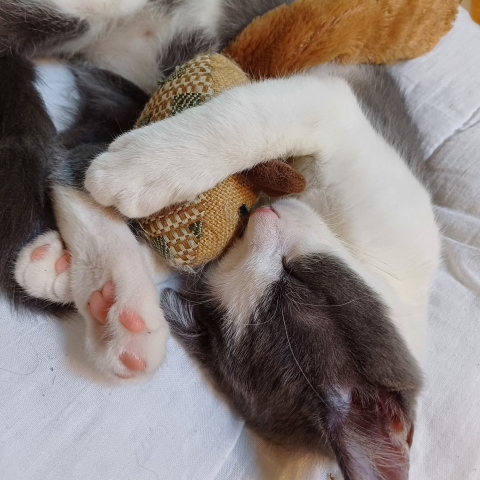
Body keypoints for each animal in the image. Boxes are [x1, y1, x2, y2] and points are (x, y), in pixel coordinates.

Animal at [0, 1, 442, 478]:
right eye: (296, 285)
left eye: (282, 293)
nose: (263, 217)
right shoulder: (352, 129)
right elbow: (264, 113)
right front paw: (142, 168)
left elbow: (186, 253)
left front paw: (65, 275)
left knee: (69, 155)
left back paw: (118, 298)